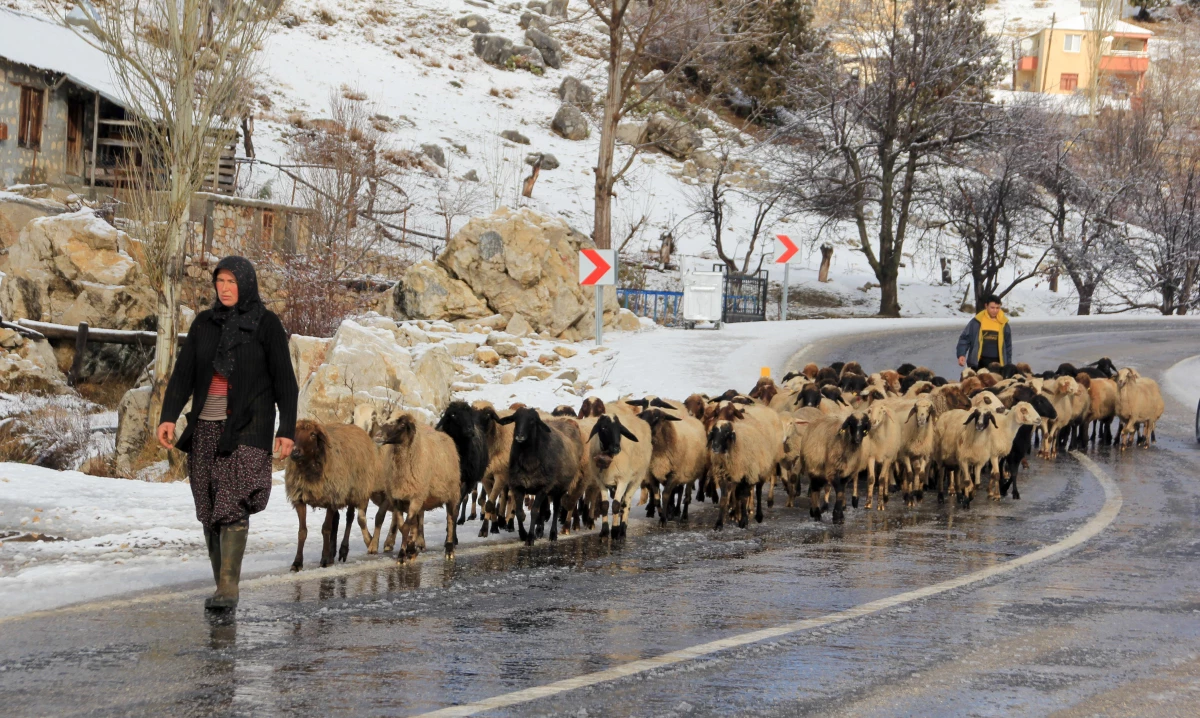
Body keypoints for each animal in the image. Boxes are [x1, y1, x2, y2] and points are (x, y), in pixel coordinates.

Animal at [283, 422, 381, 573]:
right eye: (294, 431)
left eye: (313, 434)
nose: (295, 453)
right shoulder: (300, 498)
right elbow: (302, 532)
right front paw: (297, 563)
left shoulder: (331, 497)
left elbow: (326, 529)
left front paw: (324, 560)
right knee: (337, 519)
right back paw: (332, 553)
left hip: (354, 490)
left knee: (349, 518)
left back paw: (342, 550)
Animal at [376, 415, 460, 561]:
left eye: (402, 424)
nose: (378, 435)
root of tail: (446, 436)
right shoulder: (397, 499)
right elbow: (403, 526)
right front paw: (408, 551)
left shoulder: (415, 497)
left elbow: (406, 527)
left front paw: (401, 556)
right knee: (416, 524)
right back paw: (412, 549)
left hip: (452, 494)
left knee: (451, 519)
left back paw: (449, 549)